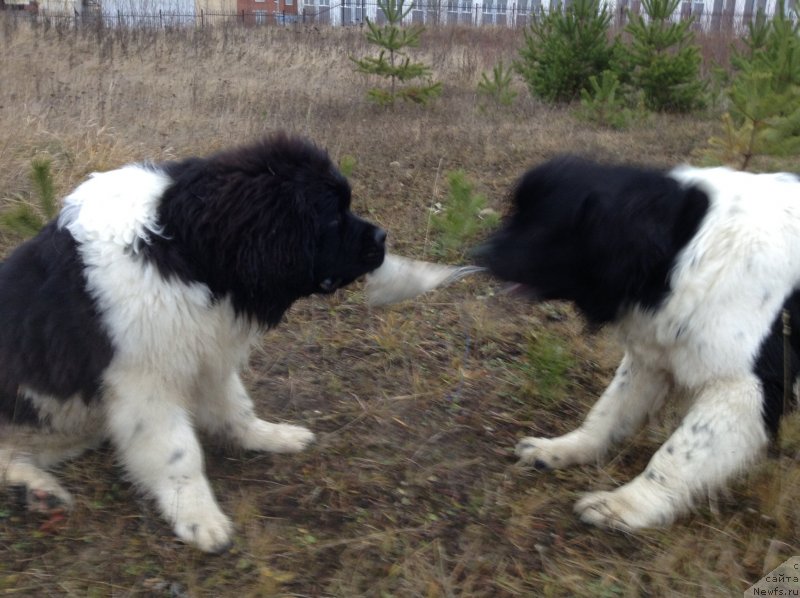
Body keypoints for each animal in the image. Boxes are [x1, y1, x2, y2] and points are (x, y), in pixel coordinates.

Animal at [0, 135, 388, 552]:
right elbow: (180, 453)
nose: (383, 237)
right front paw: (199, 518)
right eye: (332, 216)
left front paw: (269, 436)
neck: (181, 248)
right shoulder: (147, 382)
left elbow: (235, 408)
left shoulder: (205, 352)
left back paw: (38, 491)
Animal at [476, 157, 800, 532]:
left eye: (543, 223)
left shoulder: (745, 386)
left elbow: (680, 452)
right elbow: (609, 410)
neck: (685, 246)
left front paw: (626, 506)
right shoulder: (651, 357)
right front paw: (563, 449)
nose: (479, 253)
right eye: (518, 212)